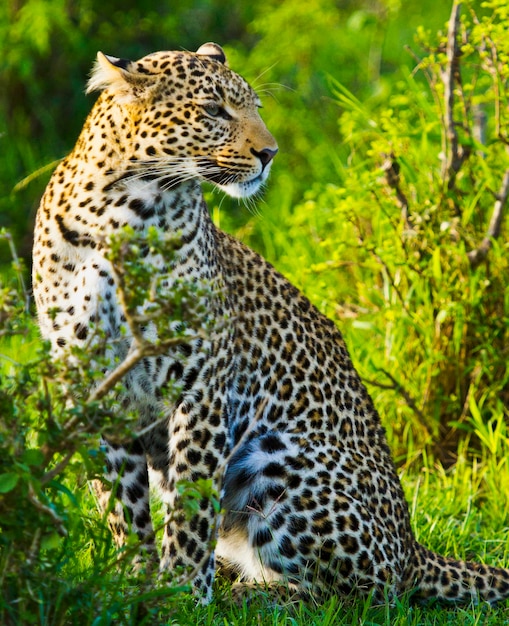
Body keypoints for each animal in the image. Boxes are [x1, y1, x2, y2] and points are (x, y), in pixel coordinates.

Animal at [33, 40, 508, 604]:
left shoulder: (201, 386)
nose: (270, 153)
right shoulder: (94, 387)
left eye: (254, 107)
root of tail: (413, 546)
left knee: (360, 592)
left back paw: (248, 593)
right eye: (214, 110)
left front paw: (181, 594)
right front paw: (136, 586)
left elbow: (192, 507)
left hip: (281, 466)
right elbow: (123, 506)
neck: (120, 214)